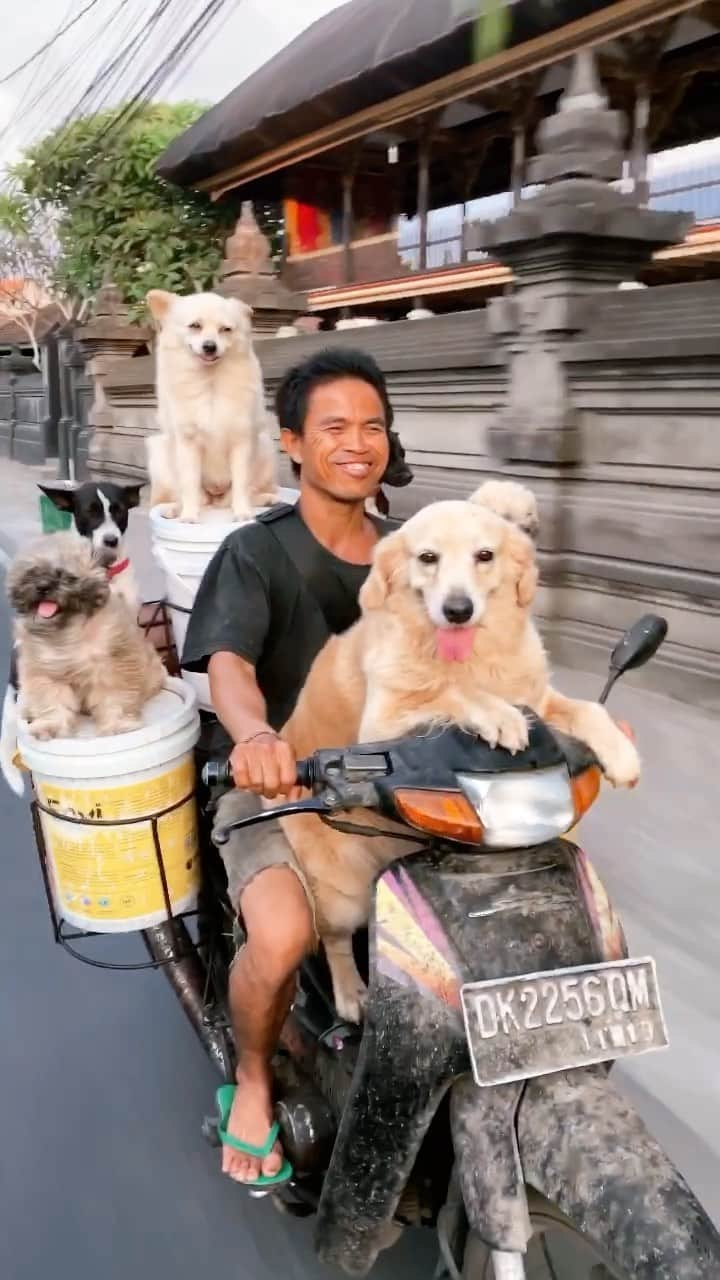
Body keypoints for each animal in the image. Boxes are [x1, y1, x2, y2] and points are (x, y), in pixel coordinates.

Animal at [147, 293, 275, 522]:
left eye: (226, 329)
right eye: (195, 326)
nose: (210, 346)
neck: (210, 382)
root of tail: (216, 496)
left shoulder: (241, 442)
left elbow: (241, 484)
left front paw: (242, 513)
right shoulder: (188, 444)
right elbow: (189, 485)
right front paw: (189, 516)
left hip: (266, 447)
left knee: (246, 492)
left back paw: (264, 499)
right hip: (159, 452)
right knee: (189, 496)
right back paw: (175, 509)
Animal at [278, 488, 635, 1018]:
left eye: (484, 556)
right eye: (428, 558)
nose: (458, 609)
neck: (472, 657)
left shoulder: (540, 699)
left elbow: (587, 709)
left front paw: (620, 751)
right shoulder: (381, 721)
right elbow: (449, 690)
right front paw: (498, 716)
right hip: (340, 892)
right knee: (334, 938)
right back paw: (349, 994)